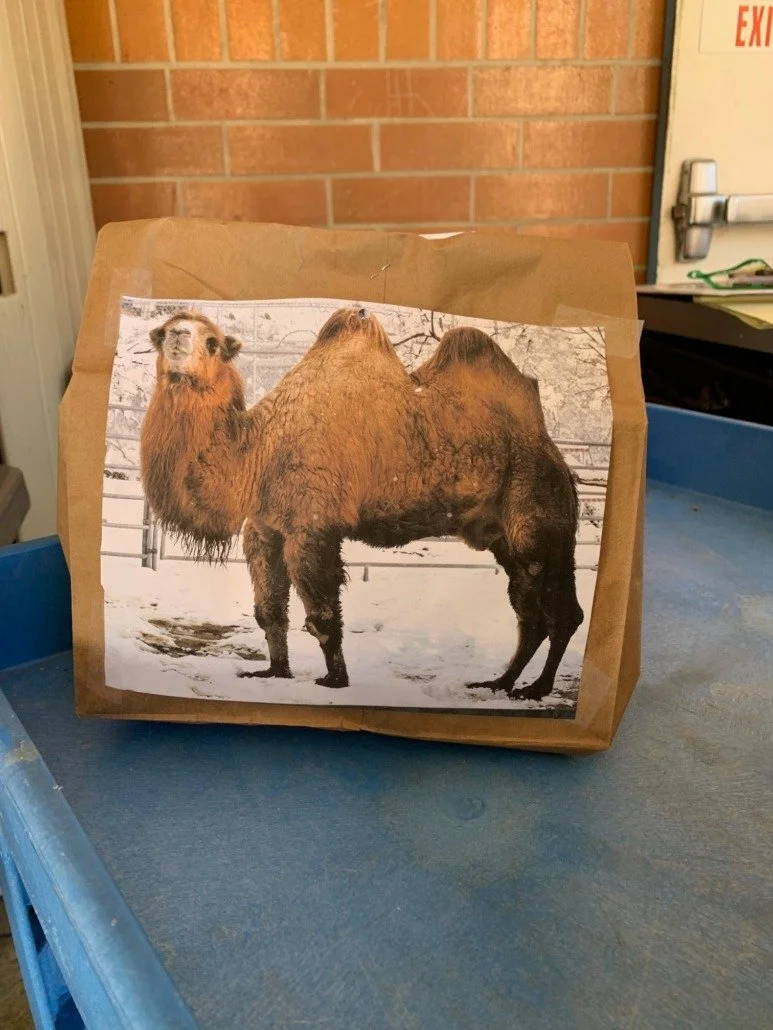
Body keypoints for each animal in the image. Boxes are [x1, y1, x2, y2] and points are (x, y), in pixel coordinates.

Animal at [139, 307, 583, 700]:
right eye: (163, 332)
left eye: (212, 342)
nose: (178, 335)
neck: (260, 452)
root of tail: (557, 457)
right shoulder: (264, 527)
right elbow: (269, 612)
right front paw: (274, 672)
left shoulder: (312, 524)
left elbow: (322, 615)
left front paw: (335, 680)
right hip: (500, 534)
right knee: (528, 610)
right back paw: (499, 683)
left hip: (539, 513)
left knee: (561, 610)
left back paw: (536, 689)